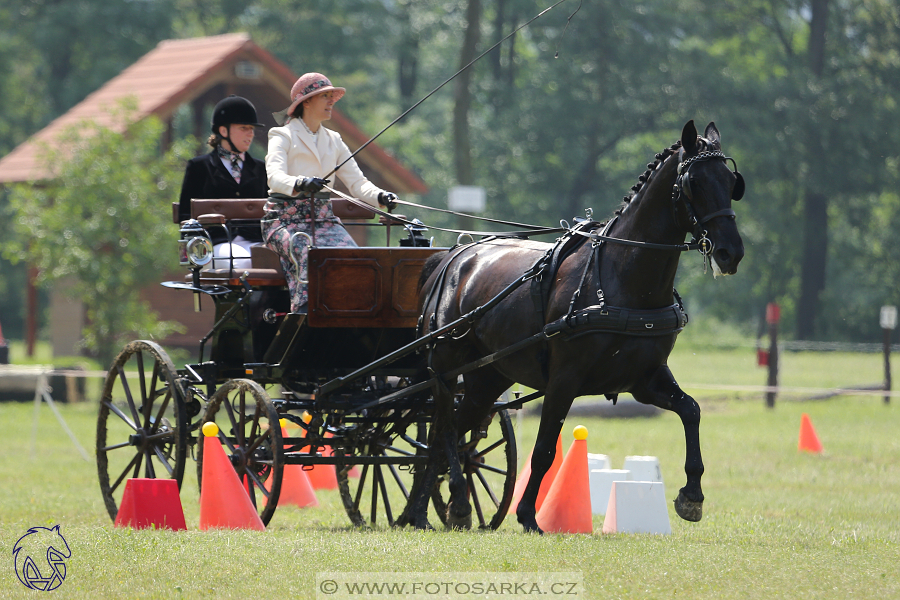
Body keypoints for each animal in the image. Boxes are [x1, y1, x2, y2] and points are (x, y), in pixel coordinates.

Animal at [410, 119, 744, 532]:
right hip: (445, 369)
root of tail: (454, 255)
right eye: (694, 182)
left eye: (731, 182)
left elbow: (692, 410)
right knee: (444, 430)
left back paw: (430, 508)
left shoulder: (644, 378)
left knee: (452, 432)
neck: (622, 279)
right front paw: (528, 516)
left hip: (486, 378)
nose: (731, 252)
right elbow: (544, 449)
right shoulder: (564, 378)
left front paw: (691, 496)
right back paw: (449, 502)